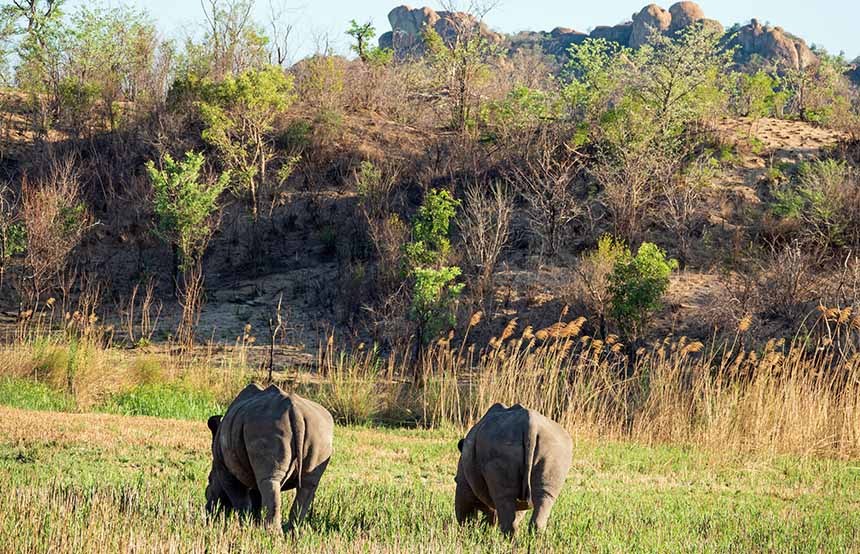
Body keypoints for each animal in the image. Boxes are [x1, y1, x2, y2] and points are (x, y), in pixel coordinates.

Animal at [204, 382, 332, 528]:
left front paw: (245, 525)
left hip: (266, 425)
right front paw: (254, 523)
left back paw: (272, 533)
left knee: (270, 480)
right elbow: (256, 498)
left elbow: (240, 499)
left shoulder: (224, 469)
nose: (207, 511)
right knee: (308, 484)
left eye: (209, 479)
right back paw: (292, 533)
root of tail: (296, 412)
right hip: (319, 429)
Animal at [456, 404, 572, 532]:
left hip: (501, 445)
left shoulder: (463, 483)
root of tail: (531, 425)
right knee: (545, 496)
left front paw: (468, 532)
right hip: (555, 448)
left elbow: (465, 511)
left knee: (504, 498)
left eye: (455, 479)